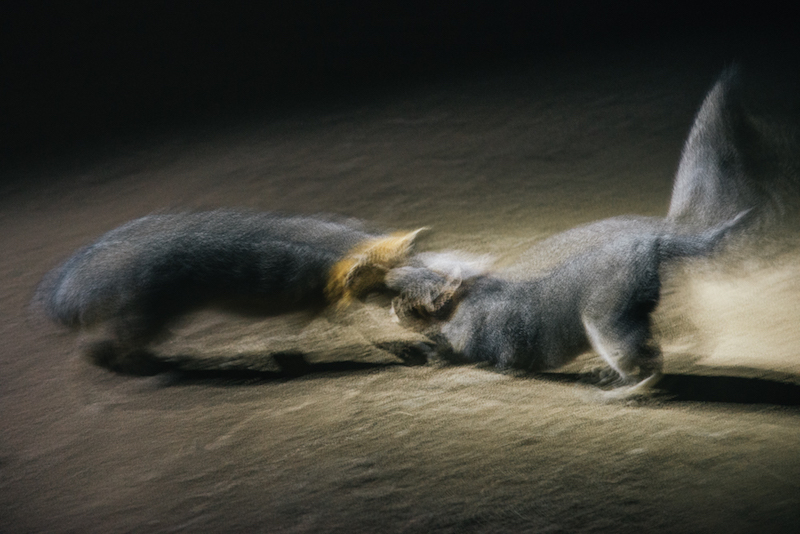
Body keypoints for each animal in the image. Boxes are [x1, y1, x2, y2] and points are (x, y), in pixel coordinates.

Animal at [36, 210, 424, 376]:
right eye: (389, 286)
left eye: (422, 267)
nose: (425, 303)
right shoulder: (335, 307)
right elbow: (370, 331)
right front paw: (408, 348)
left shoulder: (313, 308)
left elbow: (293, 334)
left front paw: (287, 354)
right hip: (151, 319)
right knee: (115, 342)